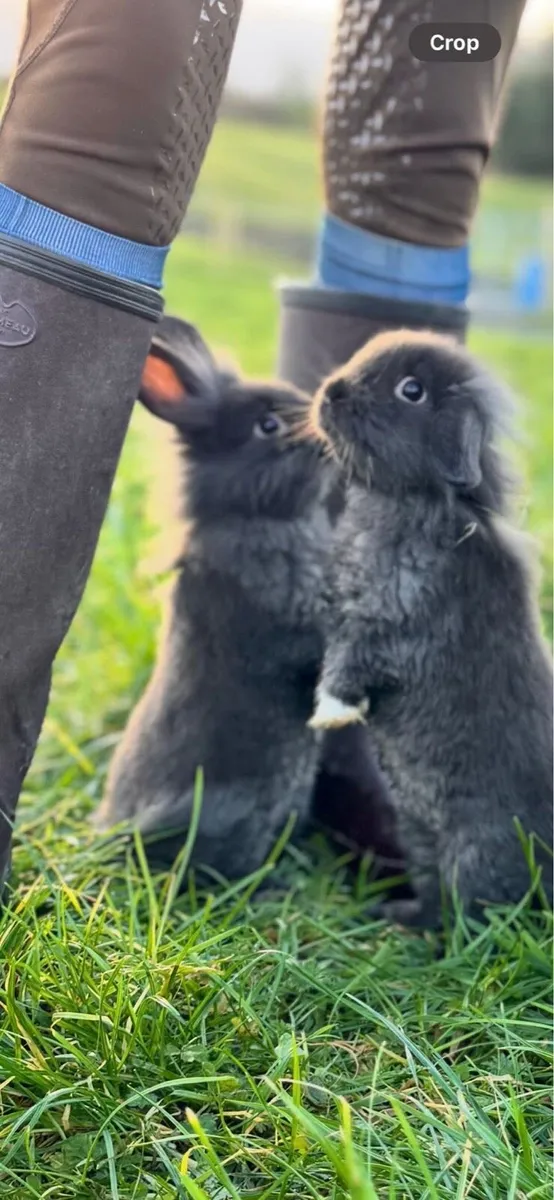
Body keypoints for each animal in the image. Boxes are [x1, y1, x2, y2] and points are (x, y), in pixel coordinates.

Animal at [309, 329, 553, 927]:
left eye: (411, 391)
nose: (331, 392)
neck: (407, 502)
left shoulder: (390, 621)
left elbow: (349, 664)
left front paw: (328, 715)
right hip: (419, 834)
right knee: (435, 895)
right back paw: (397, 916)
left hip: (477, 852)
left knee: (479, 915)